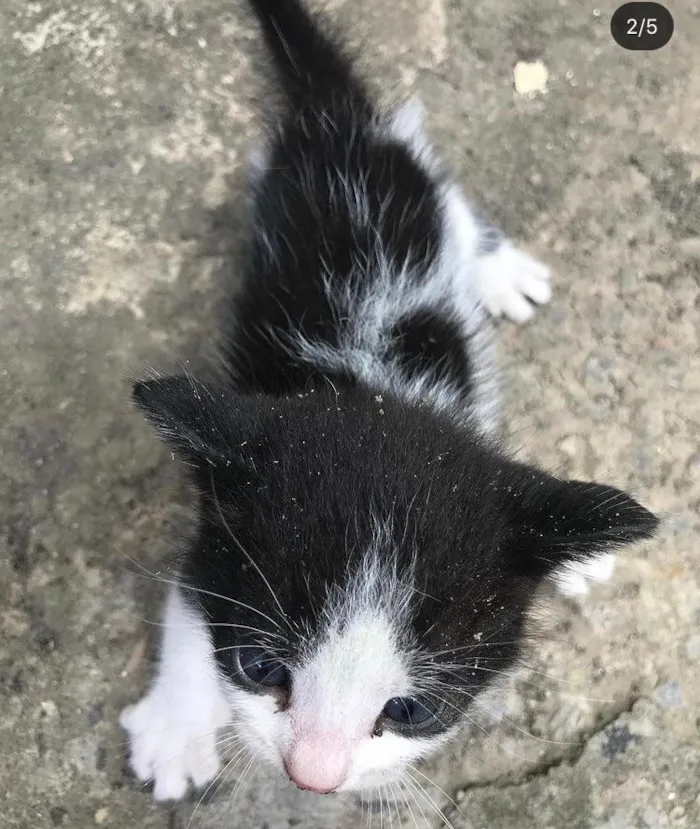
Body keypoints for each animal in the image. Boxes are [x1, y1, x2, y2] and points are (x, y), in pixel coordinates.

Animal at [119, 0, 656, 804]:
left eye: (409, 710)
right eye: (260, 667)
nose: (312, 777)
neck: (373, 390)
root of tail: (338, 125)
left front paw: (572, 562)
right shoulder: (218, 529)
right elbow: (189, 607)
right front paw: (177, 728)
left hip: (418, 186)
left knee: (453, 204)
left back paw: (497, 268)